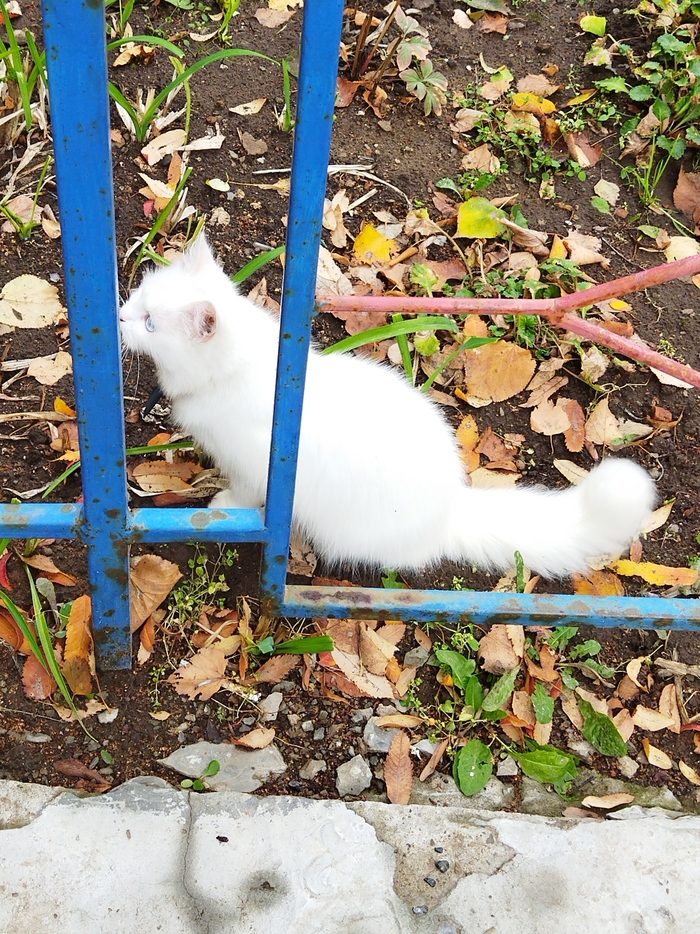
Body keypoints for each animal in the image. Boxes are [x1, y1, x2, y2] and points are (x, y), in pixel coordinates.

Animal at [119, 236, 656, 577]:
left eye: (150, 323)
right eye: (138, 298)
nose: (120, 316)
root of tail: (449, 509)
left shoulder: (257, 467)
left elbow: (246, 497)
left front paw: (223, 505)